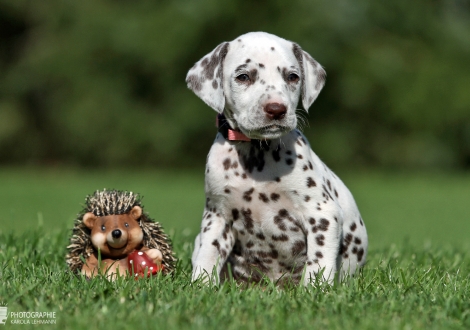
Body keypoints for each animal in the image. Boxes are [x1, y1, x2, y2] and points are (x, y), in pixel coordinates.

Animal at [186, 31, 368, 286]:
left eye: (292, 77)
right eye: (243, 76)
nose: (276, 109)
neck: (256, 156)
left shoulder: (323, 215)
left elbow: (318, 264)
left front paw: (315, 290)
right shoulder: (217, 217)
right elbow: (208, 257)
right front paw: (201, 287)